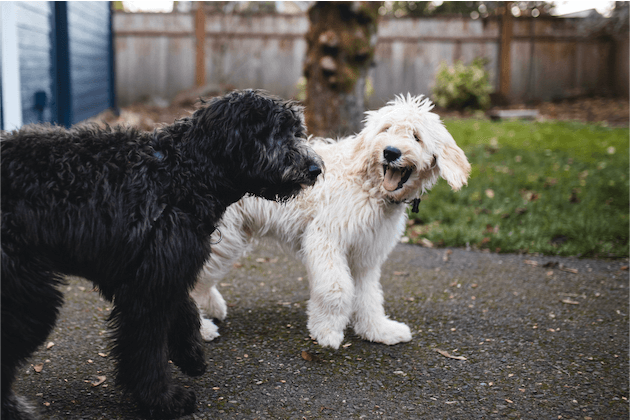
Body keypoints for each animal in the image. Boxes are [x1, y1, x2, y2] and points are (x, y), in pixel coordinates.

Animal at [1, 90, 326, 418]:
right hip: (29, 299)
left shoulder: (163, 270)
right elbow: (147, 349)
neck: (179, 176)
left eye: (296, 131)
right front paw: (163, 399)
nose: (315, 169)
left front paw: (191, 355)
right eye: (275, 133)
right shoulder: (148, 288)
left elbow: (186, 309)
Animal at [191, 95, 470, 348]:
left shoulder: (366, 254)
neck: (368, 185)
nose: (391, 152)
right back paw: (202, 328)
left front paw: (378, 330)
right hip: (223, 238)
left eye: (416, 136)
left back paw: (212, 308)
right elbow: (336, 288)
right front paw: (326, 332)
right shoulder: (325, 238)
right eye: (386, 129)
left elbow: (368, 295)